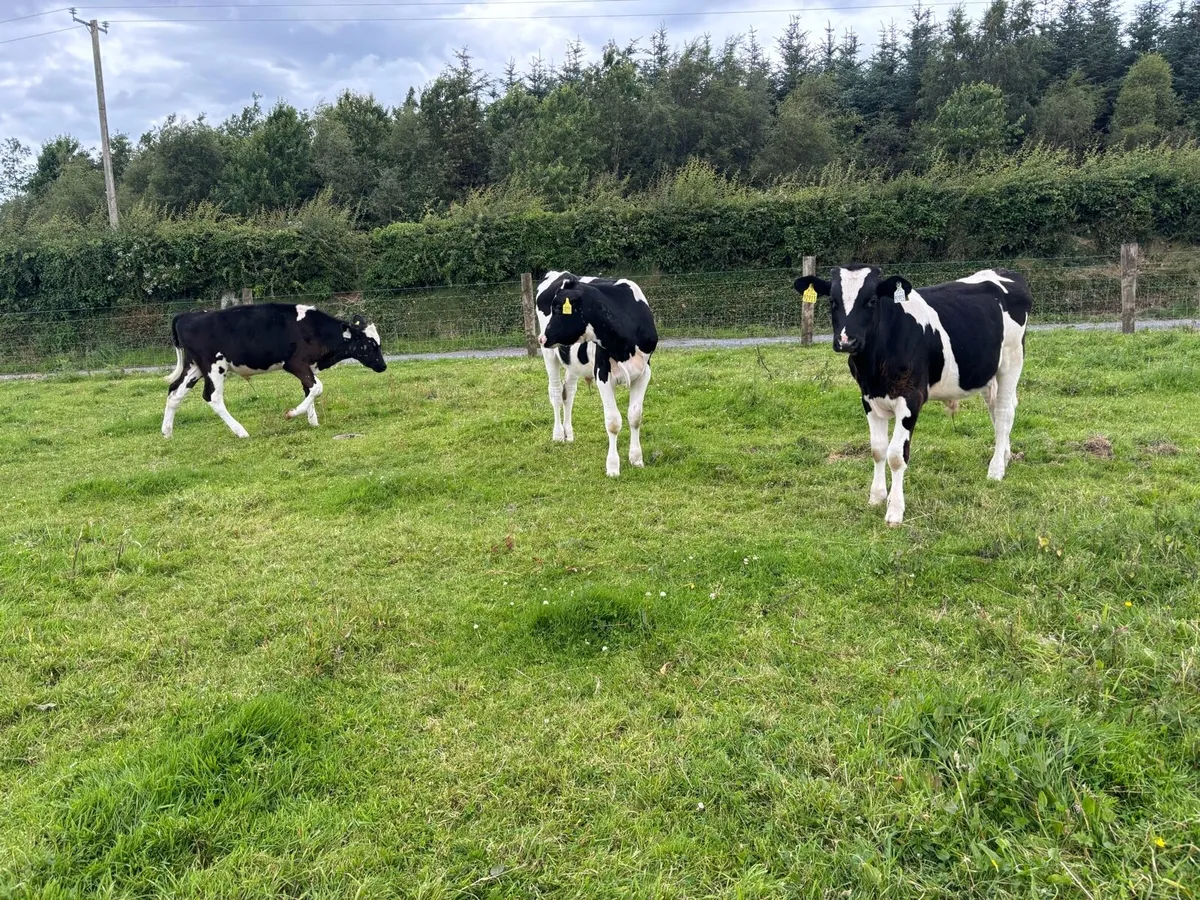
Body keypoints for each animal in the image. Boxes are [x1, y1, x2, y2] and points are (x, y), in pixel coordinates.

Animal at [161, 302, 387, 439]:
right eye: (370, 344)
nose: (383, 366)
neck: (314, 329)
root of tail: (187, 315)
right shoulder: (295, 363)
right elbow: (317, 388)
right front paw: (292, 413)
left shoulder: (309, 366)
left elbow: (310, 389)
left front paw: (313, 422)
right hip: (214, 366)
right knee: (212, 397)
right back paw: (241, 431)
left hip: (194, 366)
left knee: (175, 391)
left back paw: (167, 432)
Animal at [536, 271, 658, 477]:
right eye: (553, 308)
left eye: (559, 308)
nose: (542, 338)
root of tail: (559, 273)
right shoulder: (603, 373)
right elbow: (613, 422)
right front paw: (613, 467)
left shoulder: (644, 372)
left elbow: (635, 417)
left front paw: (636, 458)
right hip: (549, 354)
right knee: (556, 393)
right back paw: (559, 434)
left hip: (572, 362)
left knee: (568, 392)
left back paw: (569, 433)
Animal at [793, 266, 1031, 526]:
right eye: (833, 301)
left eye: (872, 300)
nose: (847, 341)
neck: (874, 366)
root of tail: (1003, 272)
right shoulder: (868, 399)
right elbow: (878, 449)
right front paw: (877, 496)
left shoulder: (910, 399)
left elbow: (896, 455)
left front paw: (895, 511)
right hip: (987, 371)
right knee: (997, 411)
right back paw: (1005, 456)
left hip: (1011, 360)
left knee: (1004, 412)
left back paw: (996, 469)